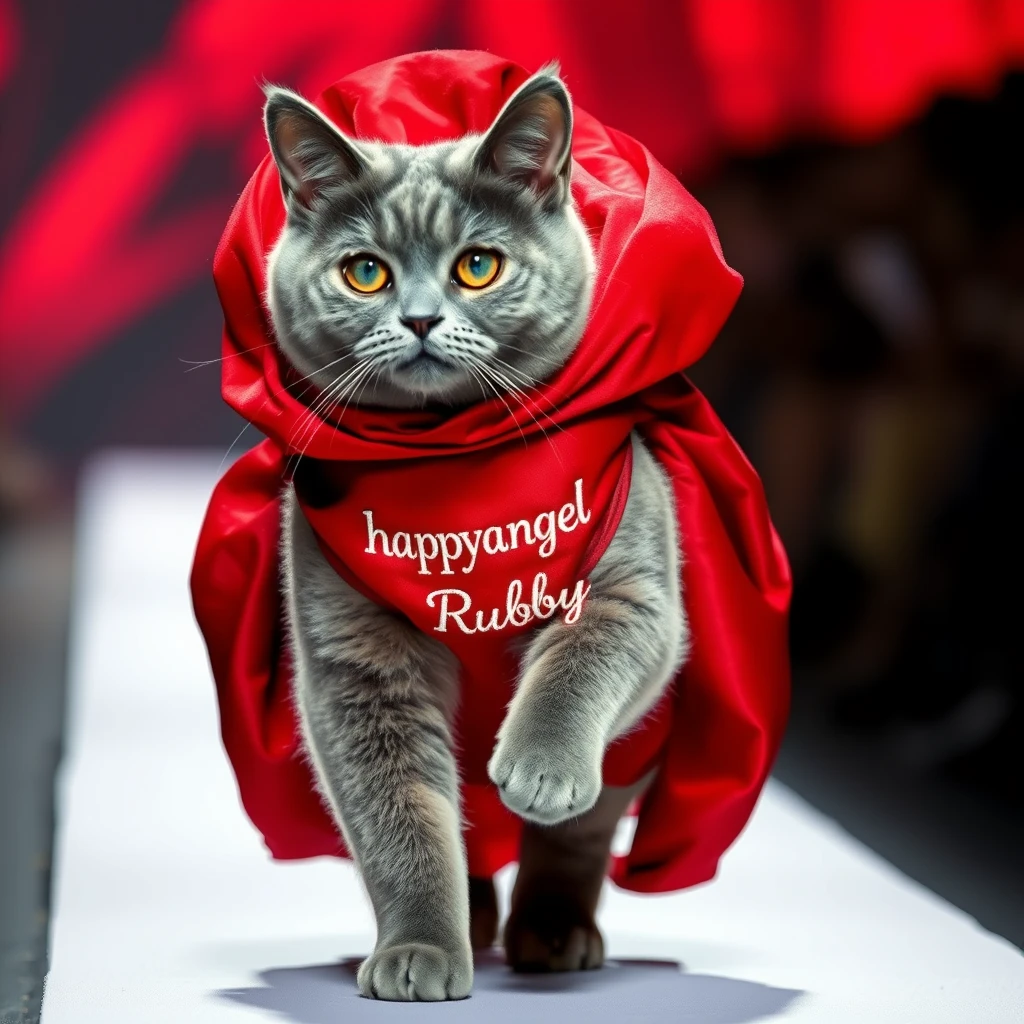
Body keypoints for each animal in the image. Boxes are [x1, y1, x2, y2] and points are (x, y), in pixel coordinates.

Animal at [264, 70, 688, 999]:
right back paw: (480, 919)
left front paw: (541, 764)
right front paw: (419, 950)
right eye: (365, 273)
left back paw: (553, 932)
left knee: (575, 842)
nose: (421, 319)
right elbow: (402, 823)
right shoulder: (352, 659)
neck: (454, 468)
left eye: (478, 265)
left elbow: (581, 659)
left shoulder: (633, 586)